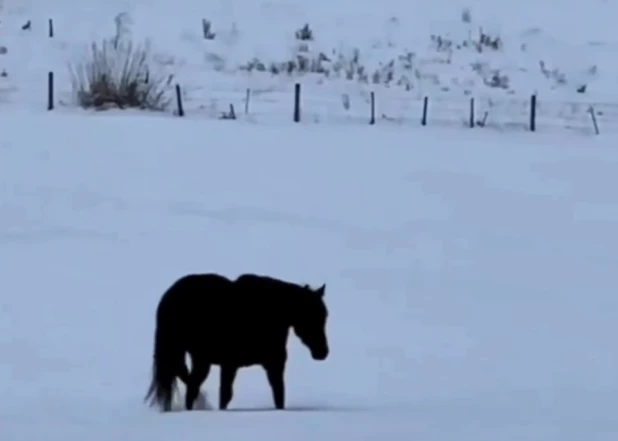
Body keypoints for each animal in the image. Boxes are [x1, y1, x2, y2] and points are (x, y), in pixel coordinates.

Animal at [144, 270, 330, 410]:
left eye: (324, 316)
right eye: (309, 316)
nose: (322, 352)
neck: (268, 313)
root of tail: (168, 297)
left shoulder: (273, 365)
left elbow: (279, 395)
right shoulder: (230, 364)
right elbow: (226, 396)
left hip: (199, 359)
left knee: (189, 381)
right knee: (189, 384)